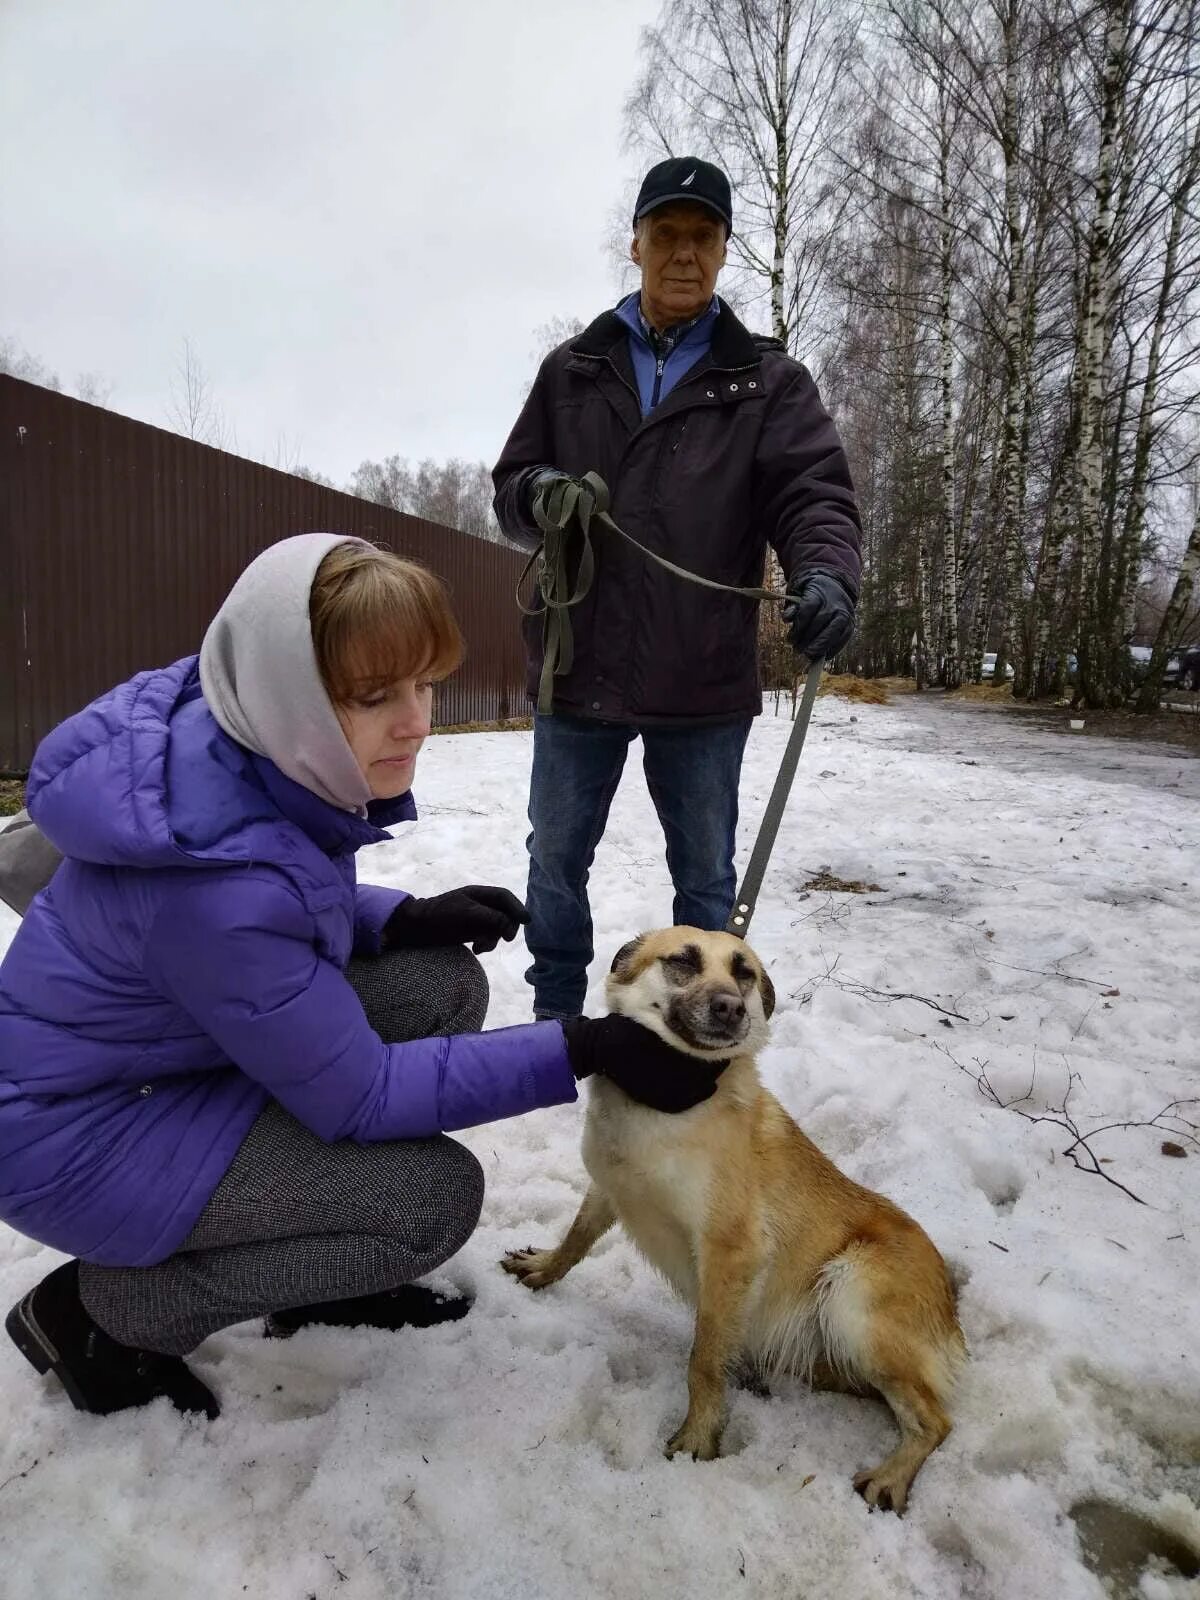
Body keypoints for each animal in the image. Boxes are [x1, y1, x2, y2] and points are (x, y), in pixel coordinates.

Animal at [505, 928, 966, 1510]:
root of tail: (950, 1301)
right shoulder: (609, 1191)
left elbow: (703, 1360)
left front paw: (699, 1436)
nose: (730, 1008)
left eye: (744, 973)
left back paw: (891, 1475)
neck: (666, 1099)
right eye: (682, 961)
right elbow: (576, 1239)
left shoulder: (731, 1253)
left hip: (850, 1293)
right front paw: (544, 1268)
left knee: (935, 1420)